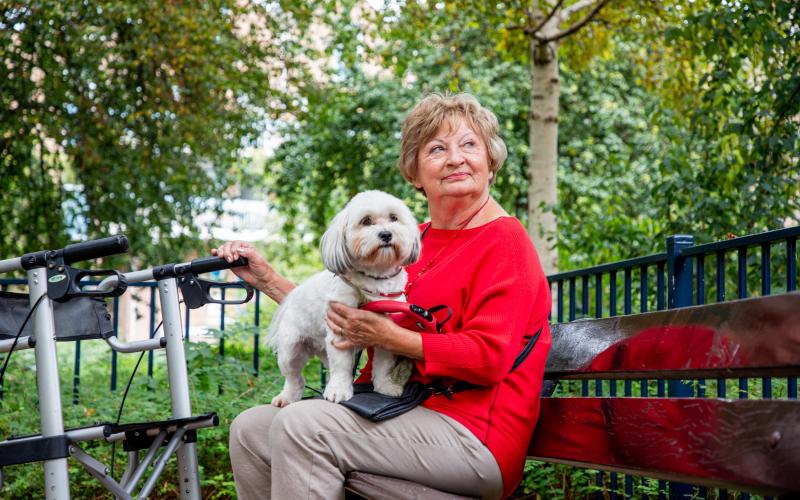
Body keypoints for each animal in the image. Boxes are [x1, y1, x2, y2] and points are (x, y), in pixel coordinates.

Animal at [268, 190, 422, 406]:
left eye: (394, 218)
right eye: (366, 221)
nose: (386, 234)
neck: (374, 281)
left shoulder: (386, 332)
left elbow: (383, 364)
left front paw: (385, 386)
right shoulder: (339, 330)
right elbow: (341, 365)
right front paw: (338, 391)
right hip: (291, 349)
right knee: (295, 378)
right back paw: (286, 397)